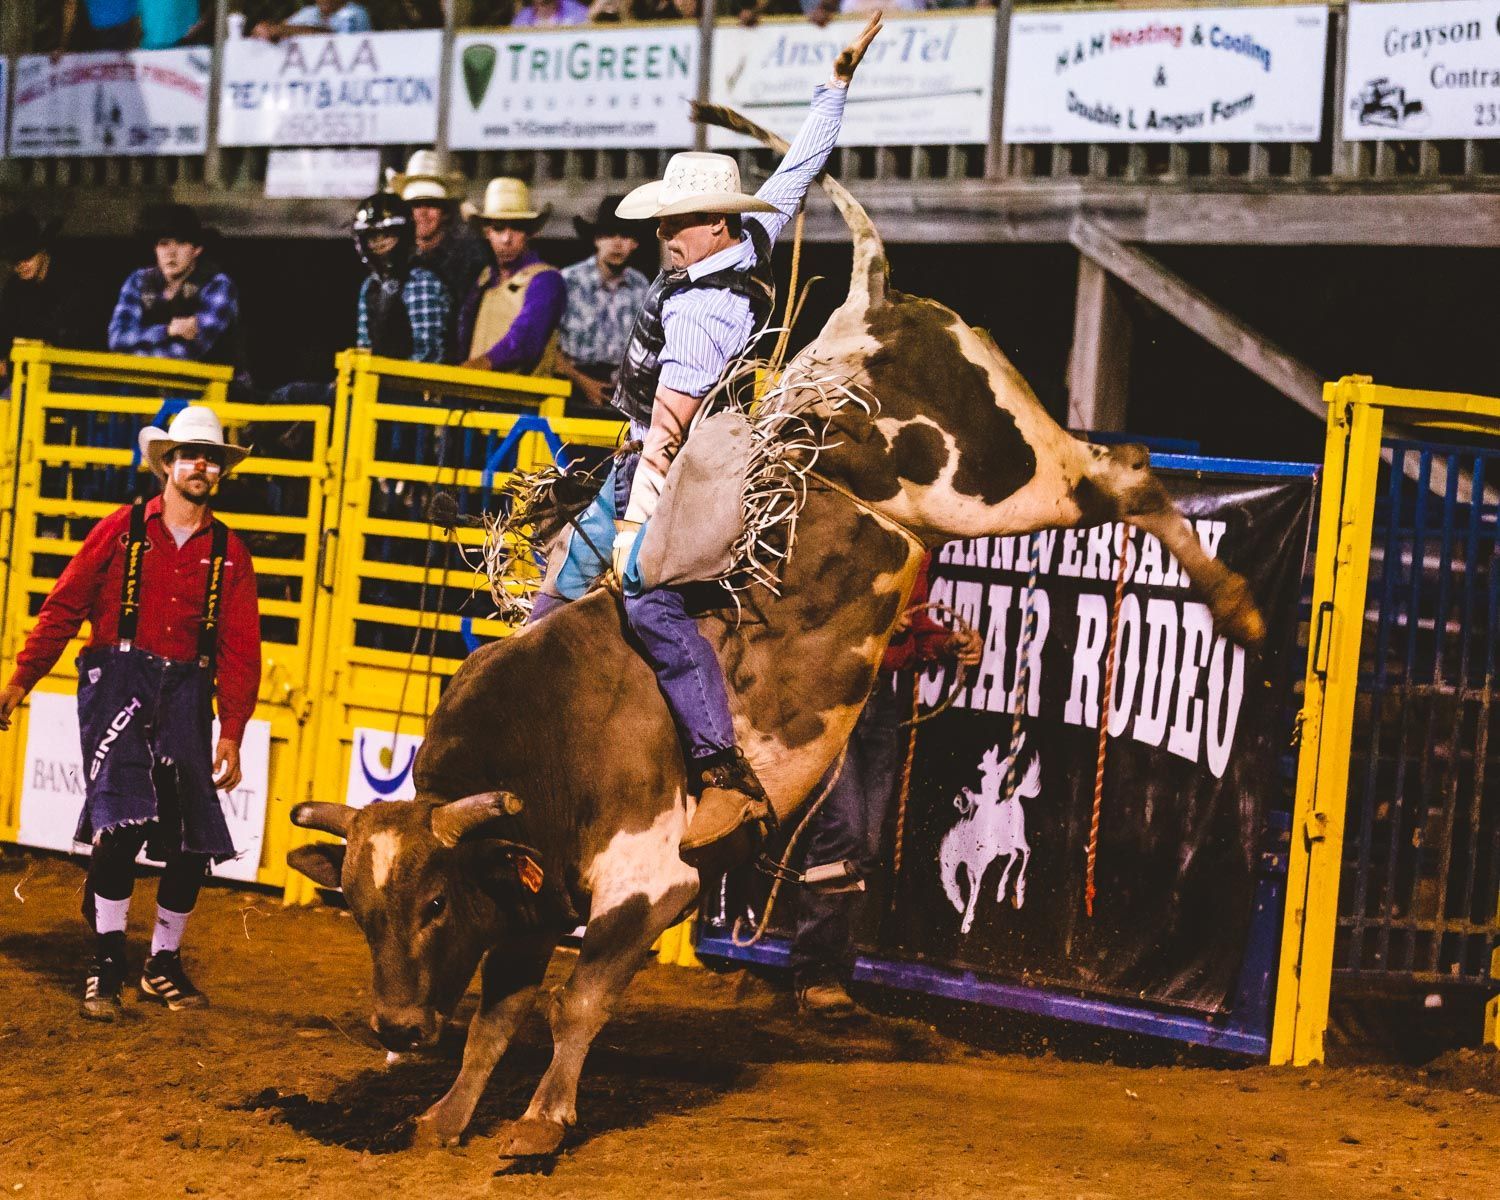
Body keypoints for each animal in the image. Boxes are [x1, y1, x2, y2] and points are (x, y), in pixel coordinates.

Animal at [283, 108, 1266, 1158]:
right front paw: (446, 1115)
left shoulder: (650, 886)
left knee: (1123, 470)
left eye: (433, 902)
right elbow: (499, 1014)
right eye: (357, 907)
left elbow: (574, 1002)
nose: (394, 1026)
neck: (551, 744)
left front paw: (542, 1123)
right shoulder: (526, 899)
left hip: (1006, 478)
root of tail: (869, 305)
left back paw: (1237, 605)